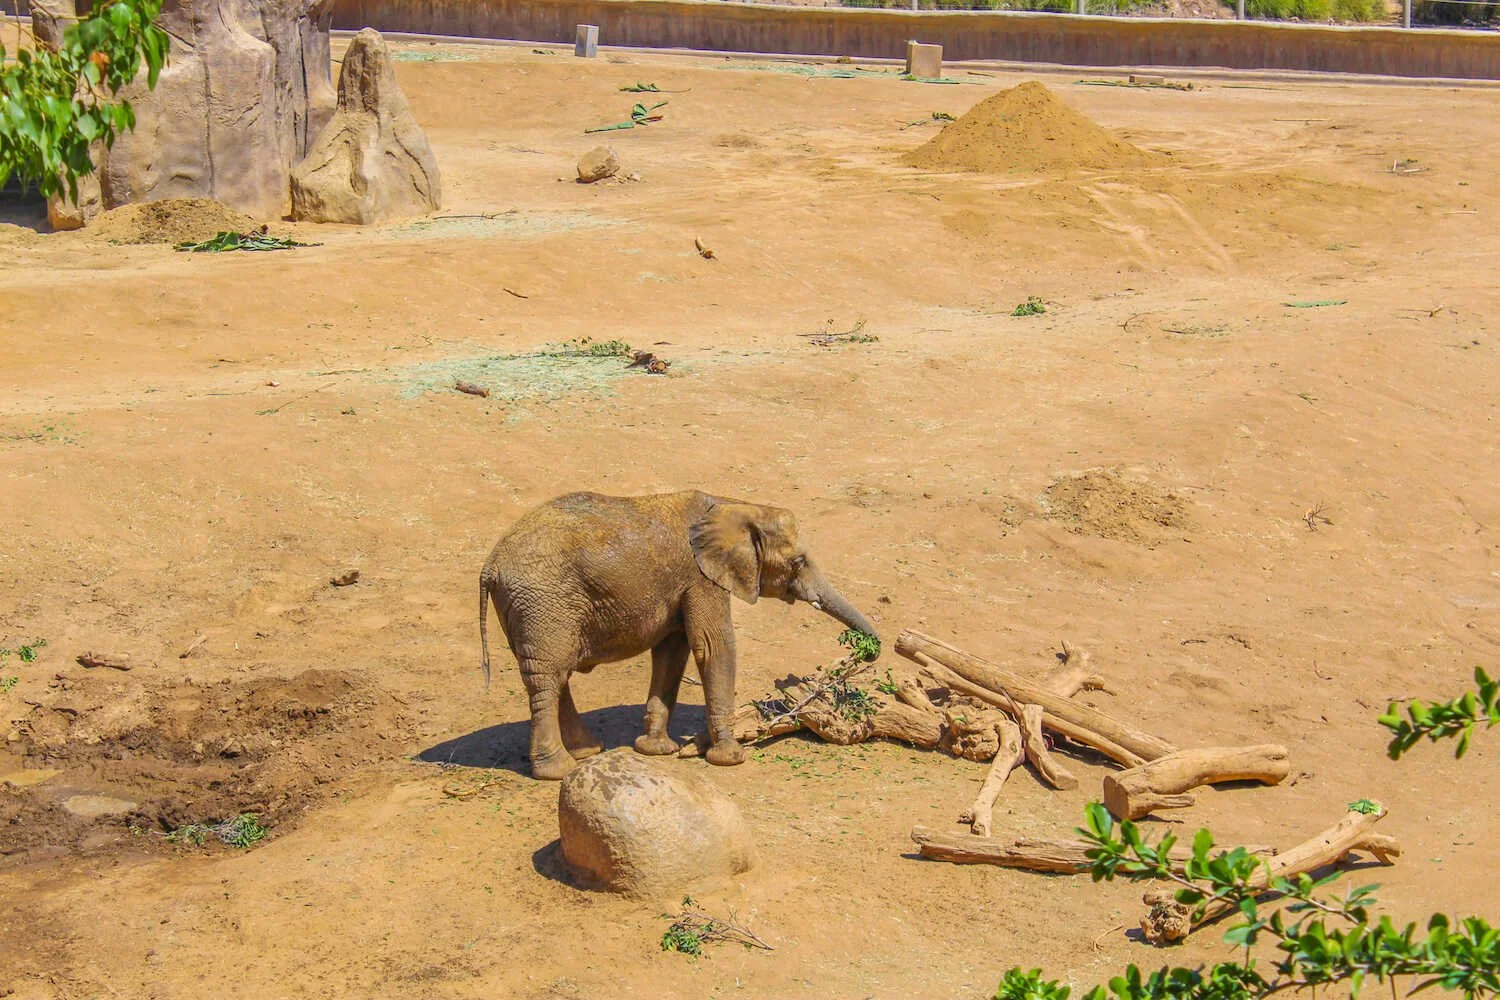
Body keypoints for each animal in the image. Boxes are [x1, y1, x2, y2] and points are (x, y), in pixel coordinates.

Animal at [478, 490, 880, 780]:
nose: (870, 650)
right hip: (542, 605)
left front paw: (657, 750)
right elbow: (713, 647)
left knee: (552, 675)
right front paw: (730, 758)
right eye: (798, 562)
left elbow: (673, 652)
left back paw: (586, 751)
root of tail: (490, 566)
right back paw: (558, 770)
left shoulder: (682, 585)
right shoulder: (701, 577)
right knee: (548, 677)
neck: (735, 505)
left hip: (528, 610)